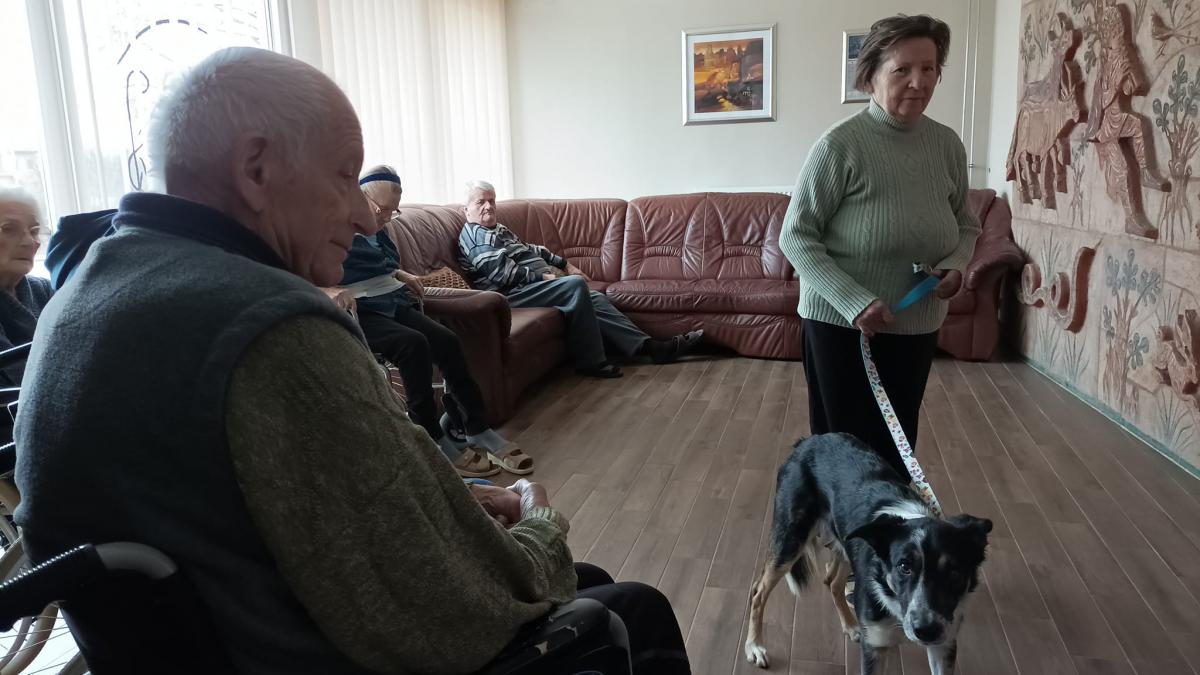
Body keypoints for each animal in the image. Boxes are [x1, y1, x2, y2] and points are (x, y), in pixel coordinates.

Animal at [744, 433, 992, 674]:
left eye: (954, 571)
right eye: (904, 567)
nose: (926, 631)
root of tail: (806, 442)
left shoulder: (944, 644)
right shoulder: (875, 646)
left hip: (844, 543)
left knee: (832, 582)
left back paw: (850, 625)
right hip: (790, 539)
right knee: (758, 591)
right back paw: (754, 646)